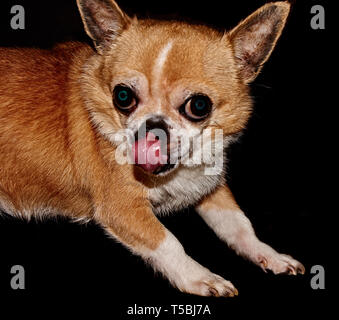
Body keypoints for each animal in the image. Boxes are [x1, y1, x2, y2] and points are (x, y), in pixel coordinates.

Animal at [0, 0, 304, 296]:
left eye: (199, 106)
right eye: (122, 96)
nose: (152, 126)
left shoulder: (208, 187)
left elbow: (239, 225)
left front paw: (269, 255)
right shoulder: (122, 209)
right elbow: (168, 242)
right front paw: (199, 277)